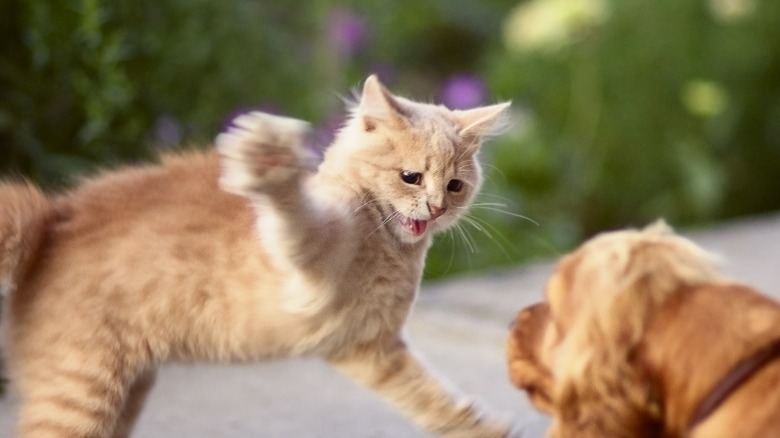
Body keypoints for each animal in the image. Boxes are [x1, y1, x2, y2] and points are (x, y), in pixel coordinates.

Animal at [0, 76, 516, 438]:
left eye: (455, 185)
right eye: (411, 177)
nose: (437, 207)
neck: (389, 248)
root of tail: (53, 216)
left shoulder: (371, 349)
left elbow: (434, 400)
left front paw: (485, 427)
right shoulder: (311, 251)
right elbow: (294, 215)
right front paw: (267, 162)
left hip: (123, 392)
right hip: (81, 390)